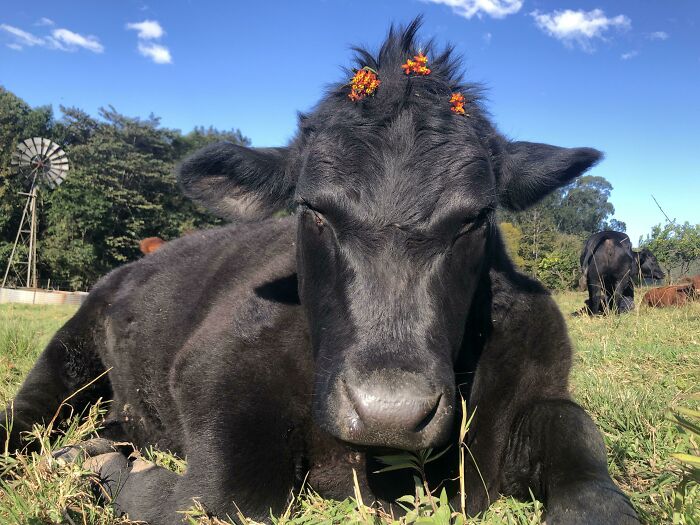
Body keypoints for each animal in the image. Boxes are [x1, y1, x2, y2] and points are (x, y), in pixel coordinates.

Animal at [1, 20, 639, 525]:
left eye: (475, 219)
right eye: (313, 210)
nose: (388, 411)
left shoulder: (536, 382)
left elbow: (576, 430)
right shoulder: (213, 376)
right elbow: (224, 500)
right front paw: (121, 477)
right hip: (75, 344)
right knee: (28, 415)